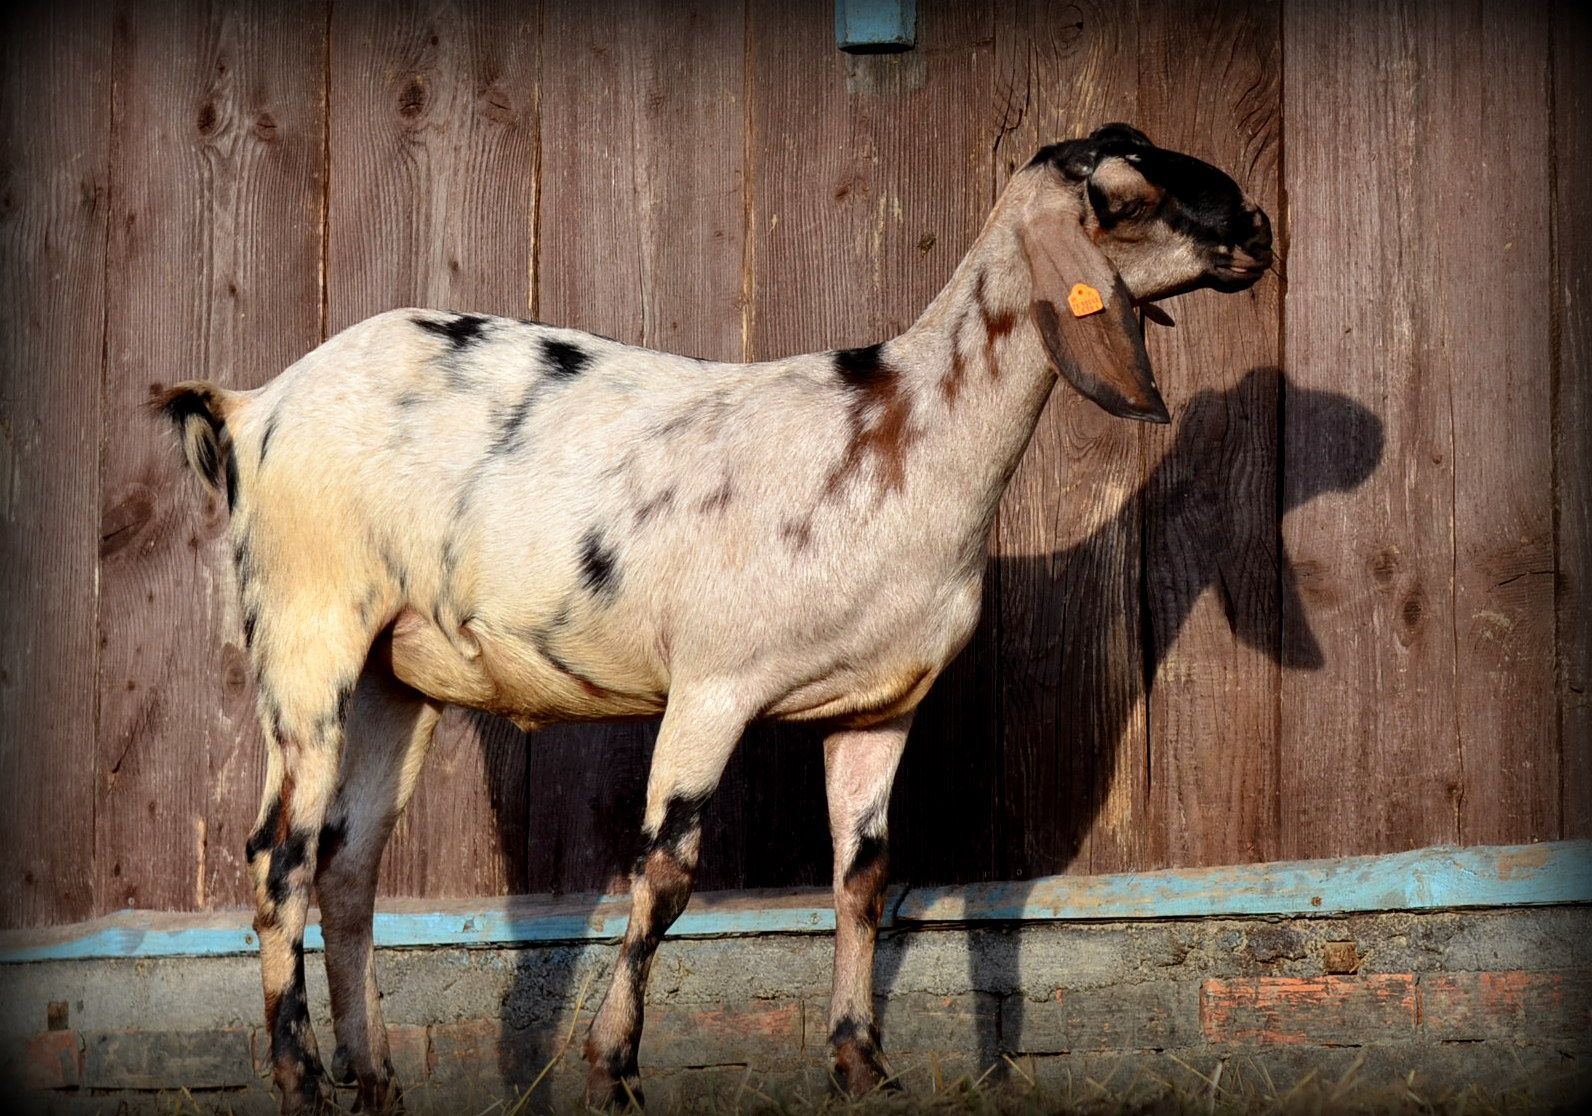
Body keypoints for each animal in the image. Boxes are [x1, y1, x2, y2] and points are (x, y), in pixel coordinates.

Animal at [161, 121, 1273, 1108]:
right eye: (1125, 195)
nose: (1260, 226)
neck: (913, 433)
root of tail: (253, 406)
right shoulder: (711, 684)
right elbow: (665, 874)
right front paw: (612, 1069)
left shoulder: (877, 707)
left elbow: (864, 875)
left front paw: (861, 1067)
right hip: (305, 632)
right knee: (278, 856)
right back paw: (302, 1082)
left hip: (399, 672)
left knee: (349, 866)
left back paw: (377, 1084)